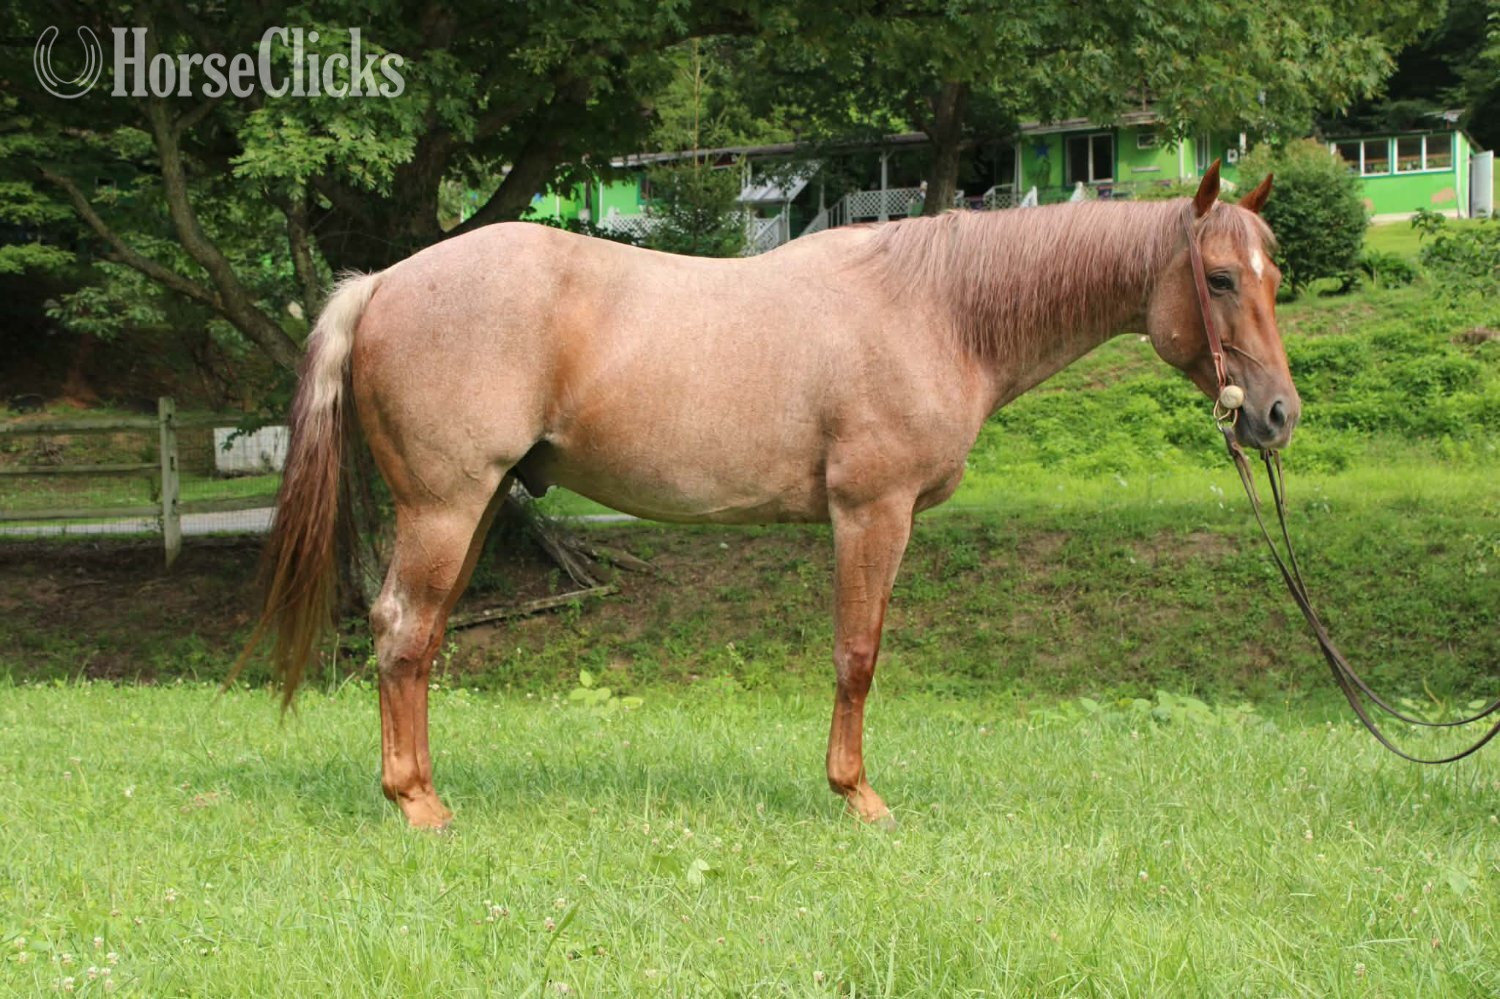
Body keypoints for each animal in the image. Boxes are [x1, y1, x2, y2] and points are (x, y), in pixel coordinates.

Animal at [246, 161, 1296, 829]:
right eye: (1217, 276)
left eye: (1275, 275)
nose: (1277, 415)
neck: (938, 309)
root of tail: (383, 282)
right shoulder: (872, 513)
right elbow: (857, 655)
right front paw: (857, 796)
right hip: (443, 507)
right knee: (400, 630)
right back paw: (415, 803)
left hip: (472, 512)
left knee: (421, 642)